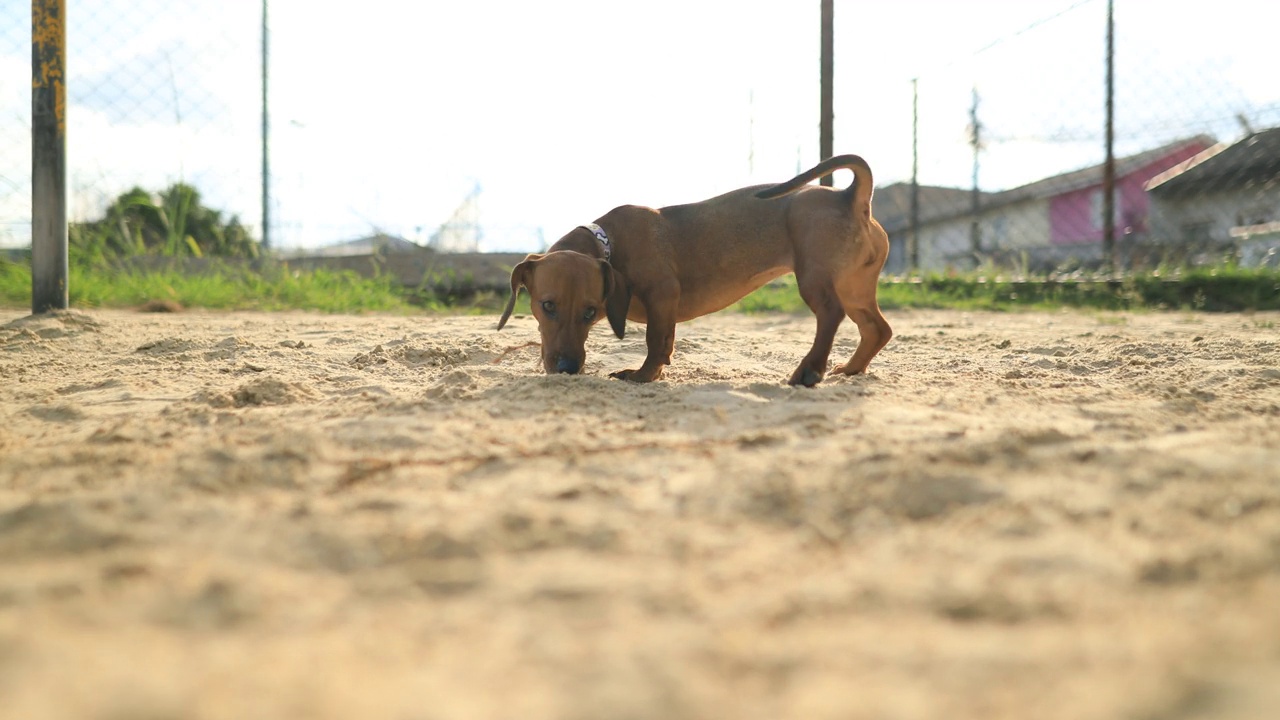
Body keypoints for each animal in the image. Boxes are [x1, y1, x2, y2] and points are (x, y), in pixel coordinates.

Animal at [496, 153, 890, 384]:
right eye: (547, 306)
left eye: (590, 311)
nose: (567, 369)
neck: (609, 242)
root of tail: (851, 197)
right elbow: (665, 341)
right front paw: (655, 370)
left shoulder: (662, 293)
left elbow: (655, 340)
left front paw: (642, 375)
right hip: (854, 288)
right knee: (878, 329)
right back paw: (851, 369)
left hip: (815, 279)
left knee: (831, 315)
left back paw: (809, 370)